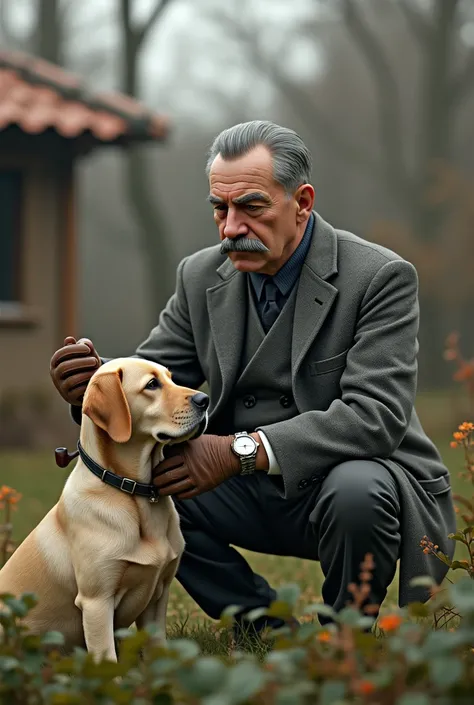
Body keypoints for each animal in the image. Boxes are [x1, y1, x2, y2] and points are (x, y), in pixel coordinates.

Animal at [0, 358, 208, 660]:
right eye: (152, 384)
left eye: (172, 378)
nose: (205, 399)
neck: (134, 493)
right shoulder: (96, 602)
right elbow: (107, 660)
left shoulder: (159, 595)